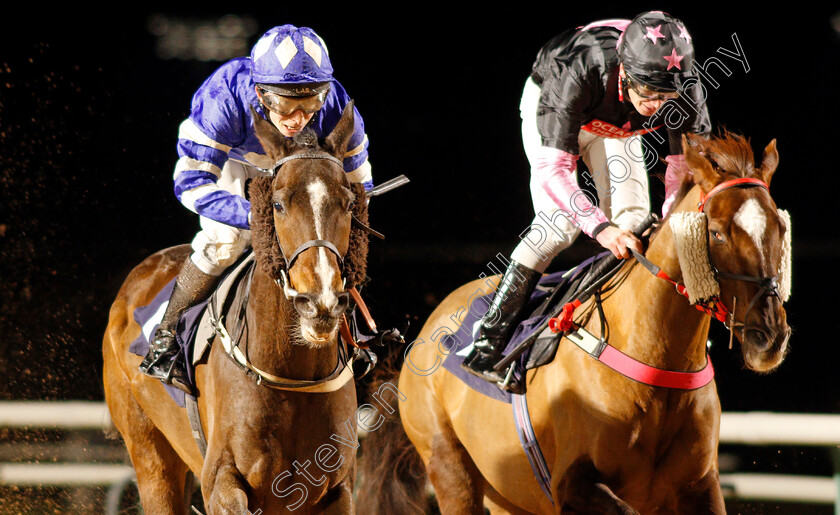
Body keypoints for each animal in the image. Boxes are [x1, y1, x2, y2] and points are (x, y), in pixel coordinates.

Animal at [102, 103, 370, 512]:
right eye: (277, 204)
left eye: (350, 203)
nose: (320, 302)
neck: (292, 374)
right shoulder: (221, 483)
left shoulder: (337, 488)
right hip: (149, 451)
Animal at [358, 131, 792, 512]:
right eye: (716, 234)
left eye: (781, 226)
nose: (769, 336)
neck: (655, 357)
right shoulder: (571, 484)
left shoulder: (699, 485)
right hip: (449, 467)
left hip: (507, 495)